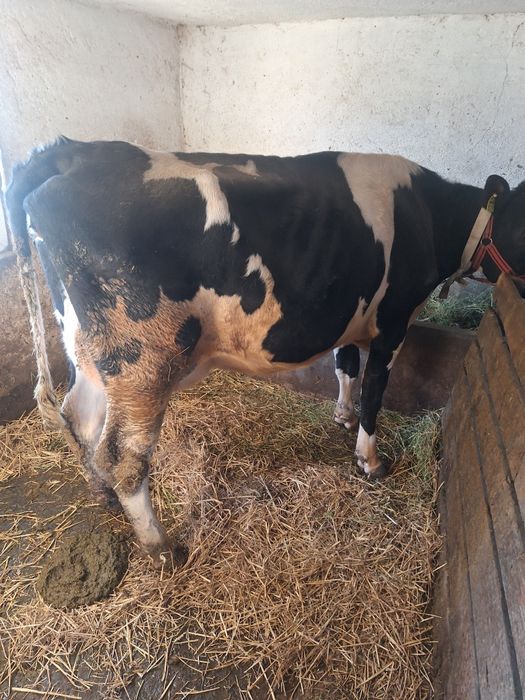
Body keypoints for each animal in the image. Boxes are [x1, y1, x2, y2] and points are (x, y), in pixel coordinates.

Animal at [5, 137, 525, 567]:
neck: (429, 214)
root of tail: (76, 151)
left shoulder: (351, 315)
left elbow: (345, 367)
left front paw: (342, 415)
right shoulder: (393, 323)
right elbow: (375, 394)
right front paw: (371, 461)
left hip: (88, 349)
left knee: (80, 418)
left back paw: (104, 495)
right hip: (142, 361)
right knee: (124, 455)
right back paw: (162, 548)